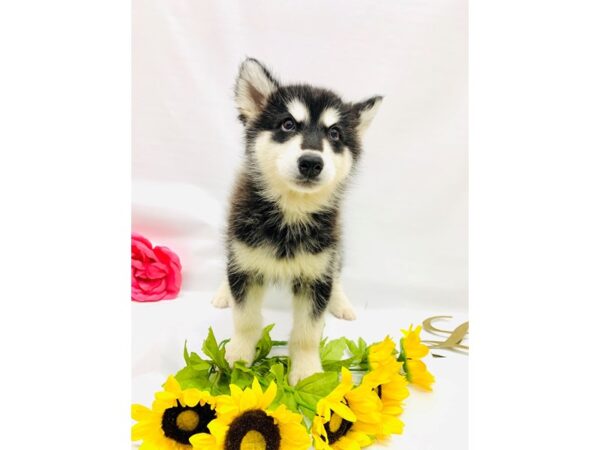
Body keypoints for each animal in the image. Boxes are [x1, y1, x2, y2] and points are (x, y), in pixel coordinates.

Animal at [211, 58, 380, 384]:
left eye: (335, 134)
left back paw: (341, 303)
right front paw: (237, 357)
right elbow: (245, 318)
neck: (291, 212)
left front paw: (307, 373)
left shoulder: (317, 276)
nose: (311, 163)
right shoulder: (246, 266)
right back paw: (223, 292)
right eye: (288, 124)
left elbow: (308, 332)